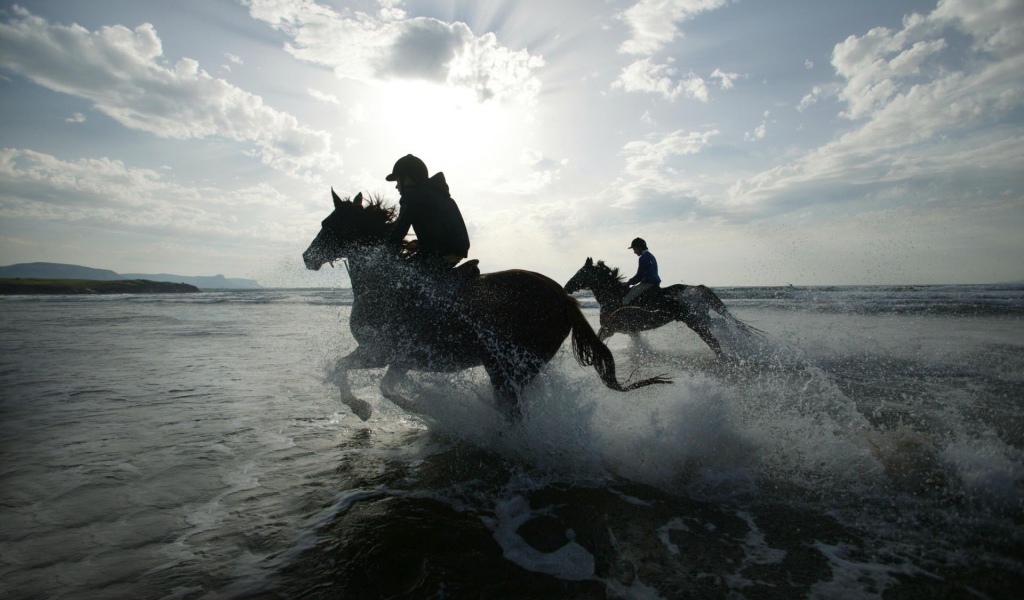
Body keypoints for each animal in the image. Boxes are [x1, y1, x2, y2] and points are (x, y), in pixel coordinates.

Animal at [302, 191, 670, 421]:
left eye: (329, 224)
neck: (386, 284)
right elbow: (384, 386)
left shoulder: (379, 351)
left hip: (508, 367)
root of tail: (564, 298)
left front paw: (362, 408)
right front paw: (418, 407)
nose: (308, 257)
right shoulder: (401, 359)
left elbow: (342, 368)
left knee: (513, 411)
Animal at [564, 258, 761, 358]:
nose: (566, 287)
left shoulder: (610, 328)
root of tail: (696, 289)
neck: (613, 296)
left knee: (714, 342)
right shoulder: (631, 330)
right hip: (702, 318)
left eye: (581, 272)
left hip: (694, 321)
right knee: (720, 325)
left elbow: (598, 338)